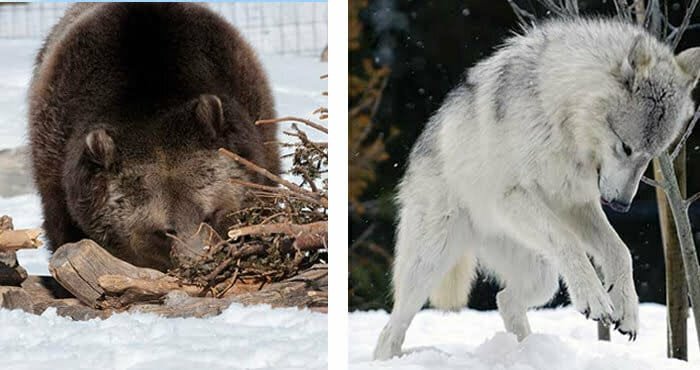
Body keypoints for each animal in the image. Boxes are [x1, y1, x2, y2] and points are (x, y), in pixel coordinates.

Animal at [374, 18, 700, 362]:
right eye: (626, 147)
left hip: (542, 276)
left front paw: (627, 309)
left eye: (651, 155)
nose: (622, 205)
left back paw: (526, 351)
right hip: (430, 264)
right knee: (390, 330)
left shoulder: (575, 205)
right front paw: (596, 298)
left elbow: (620, 251)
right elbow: (569, 242)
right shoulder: (512, 198)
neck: (562, 117)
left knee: (504, 299)